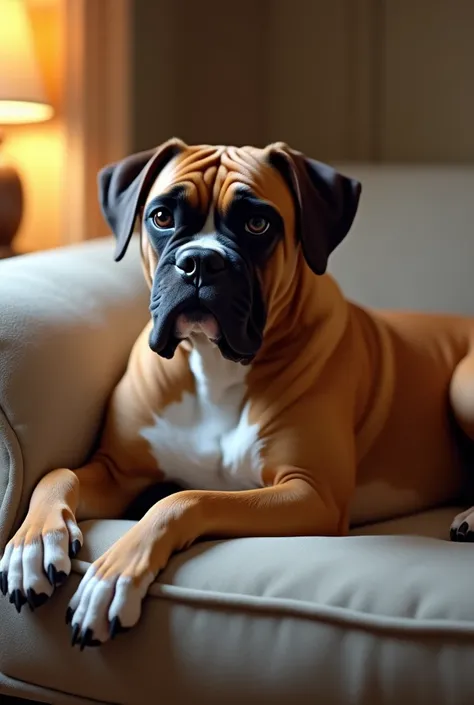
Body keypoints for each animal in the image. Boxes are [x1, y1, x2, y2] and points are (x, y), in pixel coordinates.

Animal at [0, 139, 474, 648]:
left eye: (257, 224)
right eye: (162, 217)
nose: (199, 261)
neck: (215, 365)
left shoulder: (310, 493)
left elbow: (186, 500)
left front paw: (111, 578)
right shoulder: (117, 472)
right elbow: (58, 473)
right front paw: (32, 544)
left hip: (463, 384)